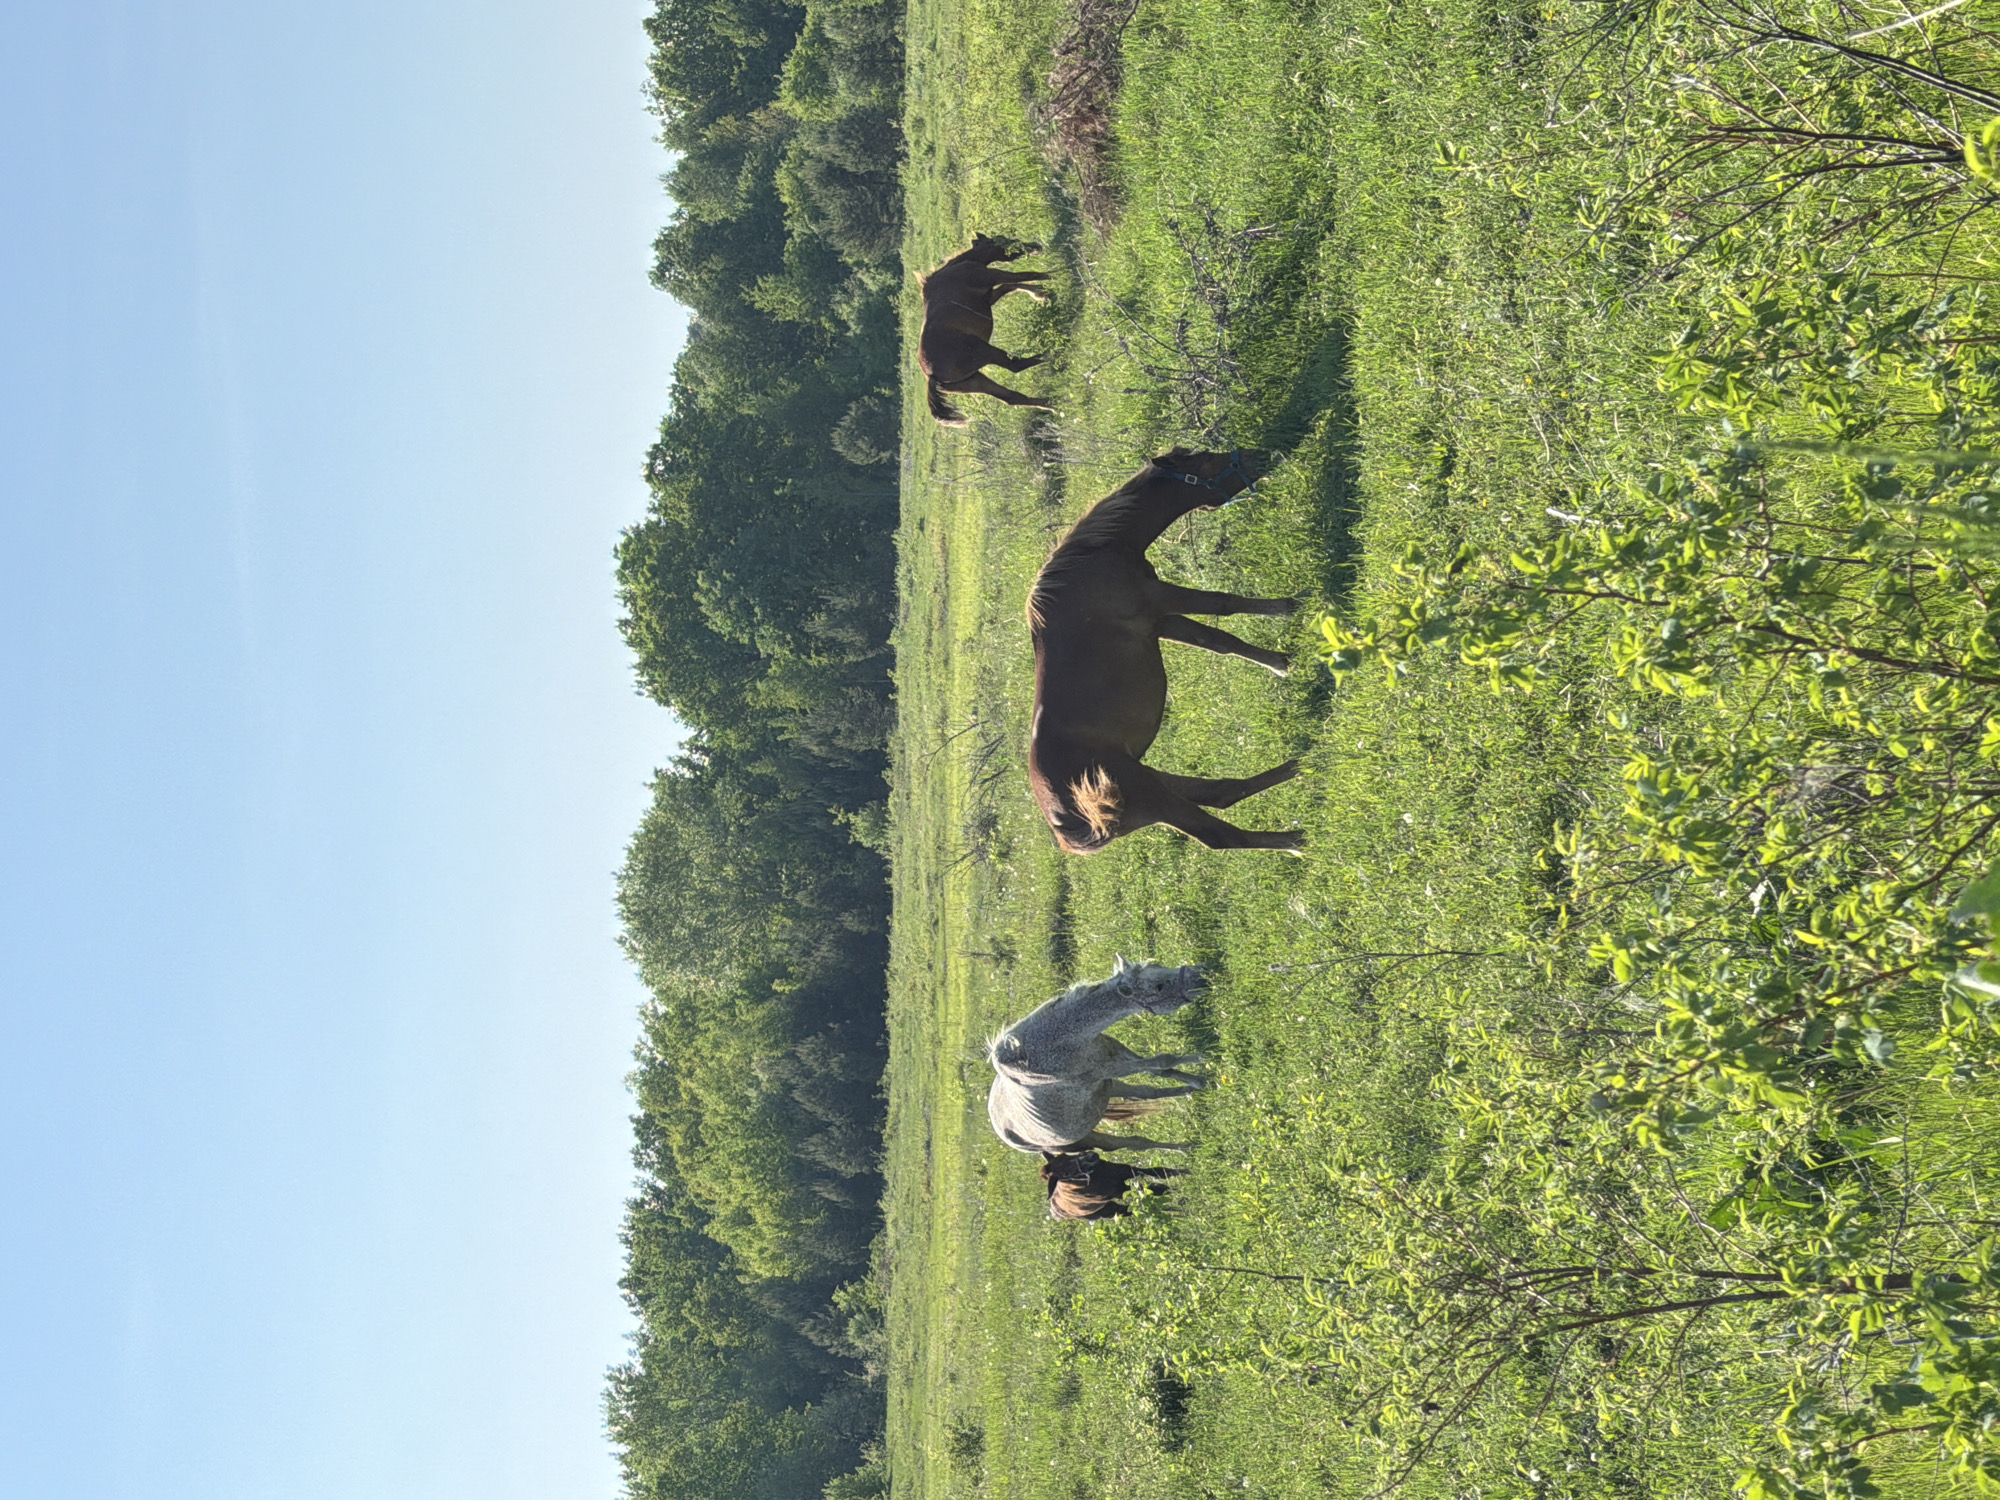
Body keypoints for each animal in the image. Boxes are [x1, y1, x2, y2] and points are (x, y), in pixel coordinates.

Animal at [917, 232, 1053, 425]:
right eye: (1000, 241)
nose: (1034, 246)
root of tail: (931, 376)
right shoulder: (992, 276)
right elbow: (1024, 275)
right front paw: (1053, 277)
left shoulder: (988, 297)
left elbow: (1011, 286)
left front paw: (1041, 293)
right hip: (984, 351)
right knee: (1015, 366)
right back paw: (1051, 354)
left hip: (974, 381)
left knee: (1011, 397)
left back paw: (1052, 403)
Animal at [986, 957, 1209, 1155]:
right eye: (1159, 987)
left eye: (1159, 965)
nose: (1202, 973)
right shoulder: (1104, 1070)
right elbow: (1163, 1061)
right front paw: (1200, 1060)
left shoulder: (1110, 1049)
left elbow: (1160, 1070)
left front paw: (1197, 1079)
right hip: (1087, 1135)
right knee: (1136, 1143)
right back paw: (1186, 1148)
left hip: (1108, 1088)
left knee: (1145, 1093)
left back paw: (1189, 1092)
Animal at [1026, 448, 1304, 854]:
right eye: (1205, 460)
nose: (1257, 456)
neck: (1096, 557)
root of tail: (1065, 824)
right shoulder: (1160, 599)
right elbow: (1224, 603)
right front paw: (1290, 606)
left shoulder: (1159, 621)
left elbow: (1220, 642)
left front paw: (1281, 662)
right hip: (1150, 794)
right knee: (1220, 834)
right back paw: (1295, 839)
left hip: (1152, 783)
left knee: (1221, 792)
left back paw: (1298, 766)